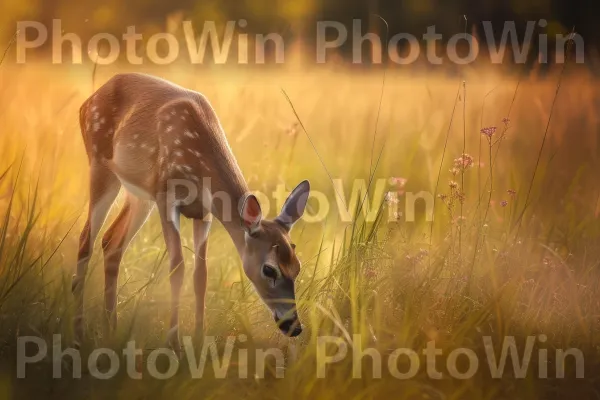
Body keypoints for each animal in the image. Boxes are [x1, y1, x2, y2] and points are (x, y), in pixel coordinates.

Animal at [71, 72, 310, 350]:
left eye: (297, 266)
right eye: (269, 269)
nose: (294, 326)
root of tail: (88, 101)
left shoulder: (204, 212)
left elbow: (200, 274)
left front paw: (198, 338)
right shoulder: (166, 197)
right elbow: (177, 268)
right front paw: (173, 342)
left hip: (139, 194)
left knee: (111, 242)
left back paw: (112, 328)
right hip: (100, 164)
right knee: (86, 239)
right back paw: (80, 332)